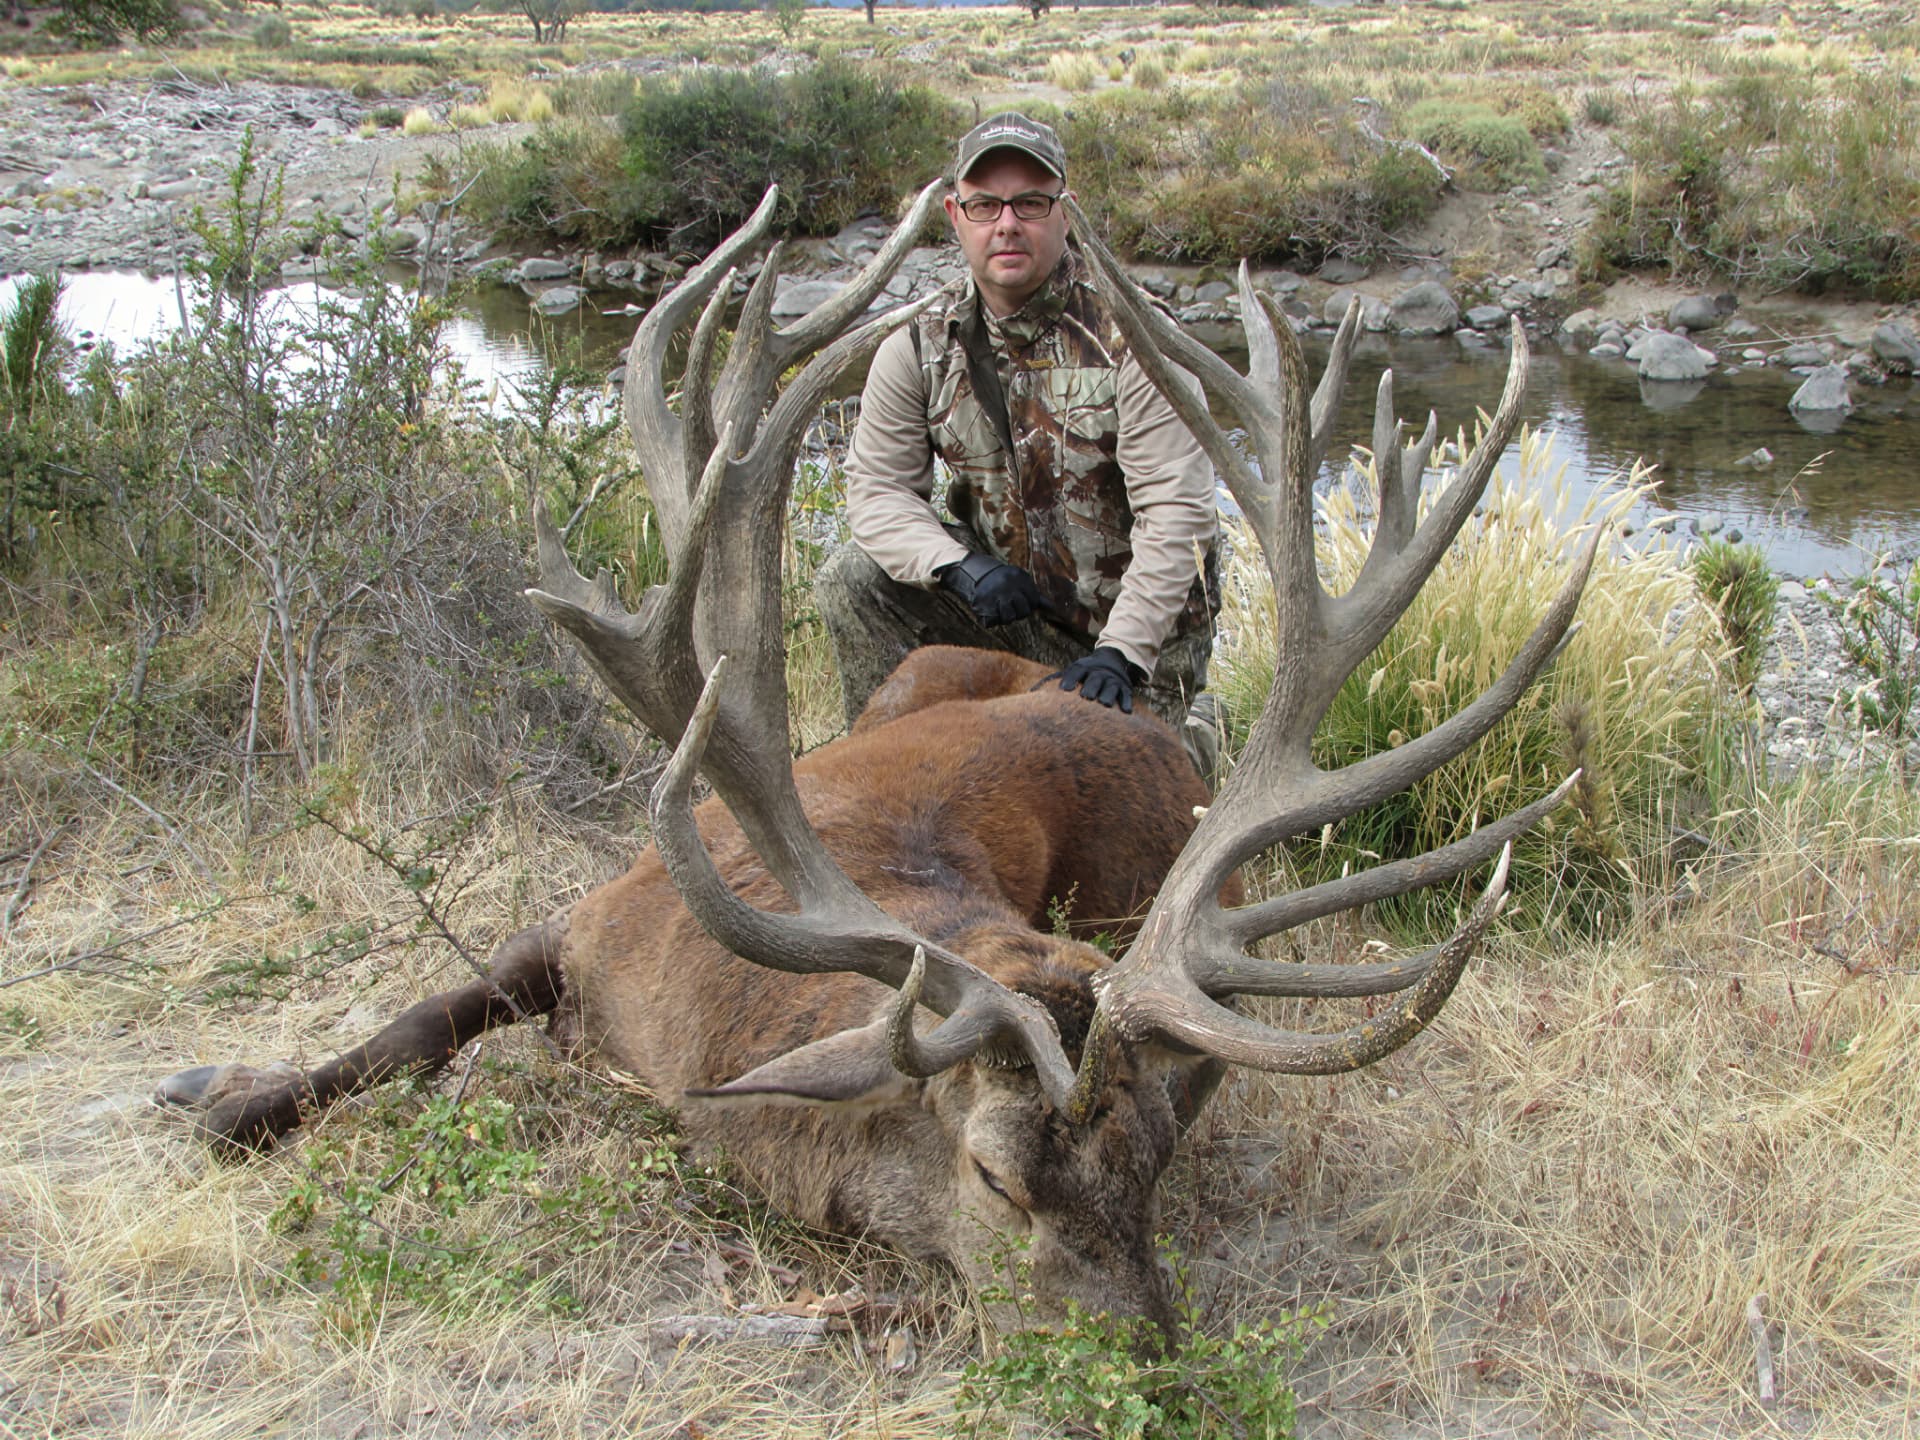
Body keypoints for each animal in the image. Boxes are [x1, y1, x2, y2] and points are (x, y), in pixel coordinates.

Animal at [158, 180, 1598, 1330]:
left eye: (1157, 1163)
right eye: (996, 1176)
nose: (1144, 1357)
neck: (704, 1033)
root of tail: (1114, 702)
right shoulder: (582, 915)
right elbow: (413, 1022)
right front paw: (219, 1097)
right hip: (915, 674)